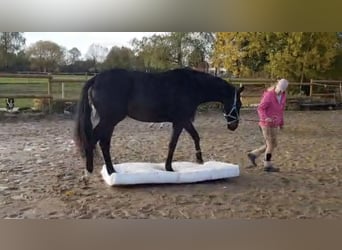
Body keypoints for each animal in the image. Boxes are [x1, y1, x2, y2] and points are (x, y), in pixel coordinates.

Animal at [75, 67, 243, 175]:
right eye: (239, 104)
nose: (234, 126)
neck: (192, 85)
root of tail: (96, 78)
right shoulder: (180, 121)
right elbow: (173, 143)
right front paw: (169, 167)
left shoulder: (183, 120)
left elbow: (195, 136)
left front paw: (199, 159)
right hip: (109, 119)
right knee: (93, 140)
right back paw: (90, 169)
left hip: (109, 121)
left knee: (104, 143)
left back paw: (111, 170)